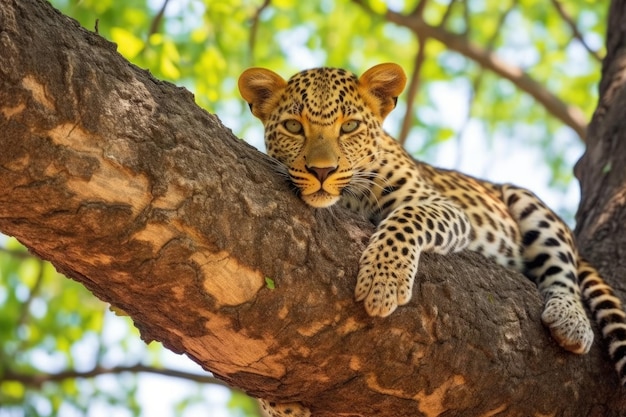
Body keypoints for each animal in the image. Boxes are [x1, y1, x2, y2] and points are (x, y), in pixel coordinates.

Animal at [236, 62, 624, 416]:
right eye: (293, 126)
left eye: (349, 127)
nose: (321, 171)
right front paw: (278, 401)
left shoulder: (443, 206)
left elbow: (405, 219)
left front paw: (383, 281)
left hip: (528, 202)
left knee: (563, 270)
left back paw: (570, 320)